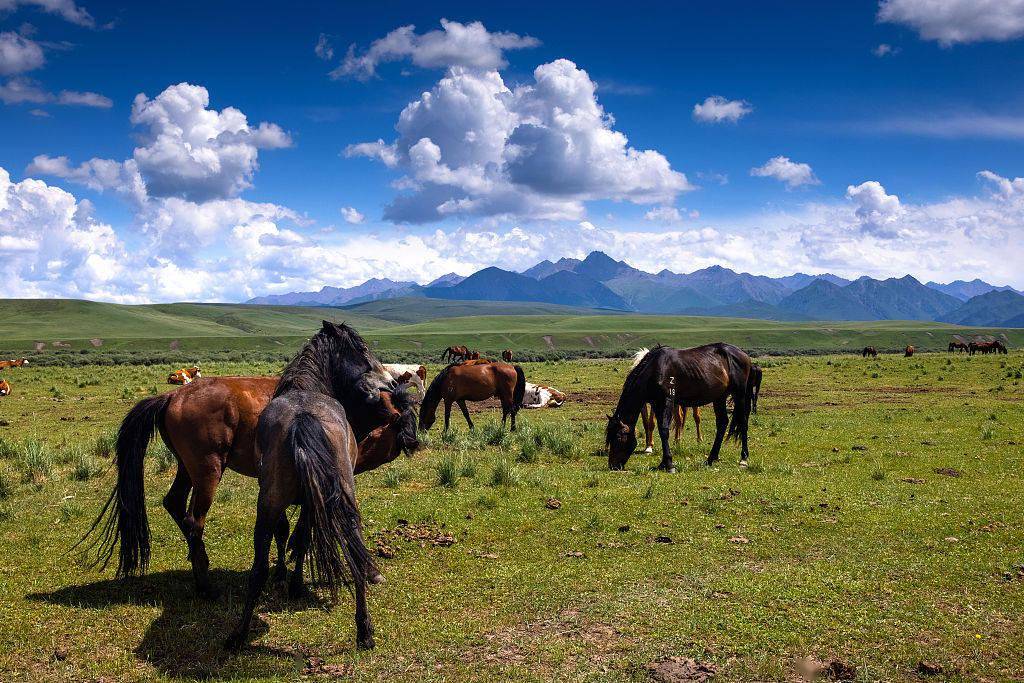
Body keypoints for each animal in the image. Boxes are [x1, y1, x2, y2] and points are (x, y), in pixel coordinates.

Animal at [80, 323, 415, 602]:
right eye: (362, 350)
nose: (390, 381)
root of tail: (172, 396)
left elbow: (282, 529)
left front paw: (281, 573)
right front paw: (368, 570)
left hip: (187, 468)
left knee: (174, 503)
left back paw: (198, 563)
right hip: (208, 472)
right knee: (193, 520)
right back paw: (206, 585)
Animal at [226, 321, 393, 651]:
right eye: (362, 349)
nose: (390, 383)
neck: (306, 388)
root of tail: (303, 418)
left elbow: (293, 537)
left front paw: (291, 581)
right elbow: (301, 537)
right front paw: (294, 582)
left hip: (269, 504)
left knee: (258, 568)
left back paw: (239, 633)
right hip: (343, 501)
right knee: (354, 554)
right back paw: (365, 632)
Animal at [606, 344, 753, 473]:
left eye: (618, 437)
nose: (613, 465)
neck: (655, 369)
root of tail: (743, 355)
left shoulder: (667, 401)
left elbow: (664, 430)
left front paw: (669, 464)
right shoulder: (657, 403)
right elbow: (660, 429)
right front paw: (663, 463)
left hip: (739, 394)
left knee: (743, 422)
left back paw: (743, 459)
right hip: (719, 397)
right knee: (722, 423)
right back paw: (710, 459)